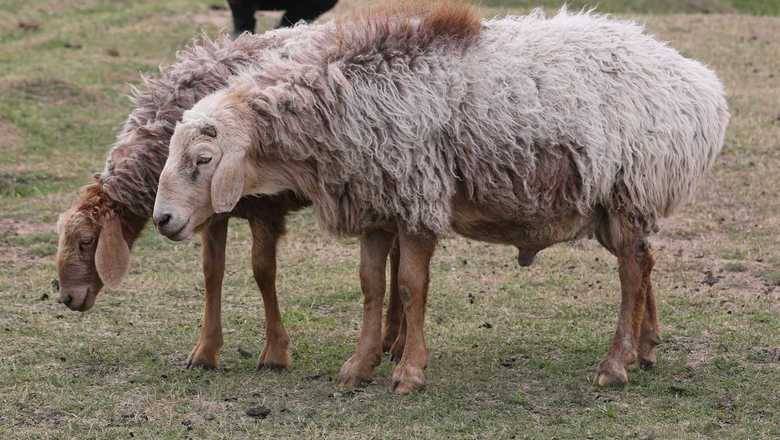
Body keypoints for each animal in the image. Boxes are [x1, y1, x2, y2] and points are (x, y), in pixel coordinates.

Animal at [154, 2, 732, 396]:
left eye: (203, 160)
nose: (163, 219)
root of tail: (701, 84)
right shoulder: (376, 202)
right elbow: (370, 286)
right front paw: (359, 367)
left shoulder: (416, 198)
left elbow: (411, 288)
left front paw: (409, 372)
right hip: (612, 205)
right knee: (645, 260)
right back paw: (644, 351)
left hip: (628, 188)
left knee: (631, 272)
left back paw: (614, 365)